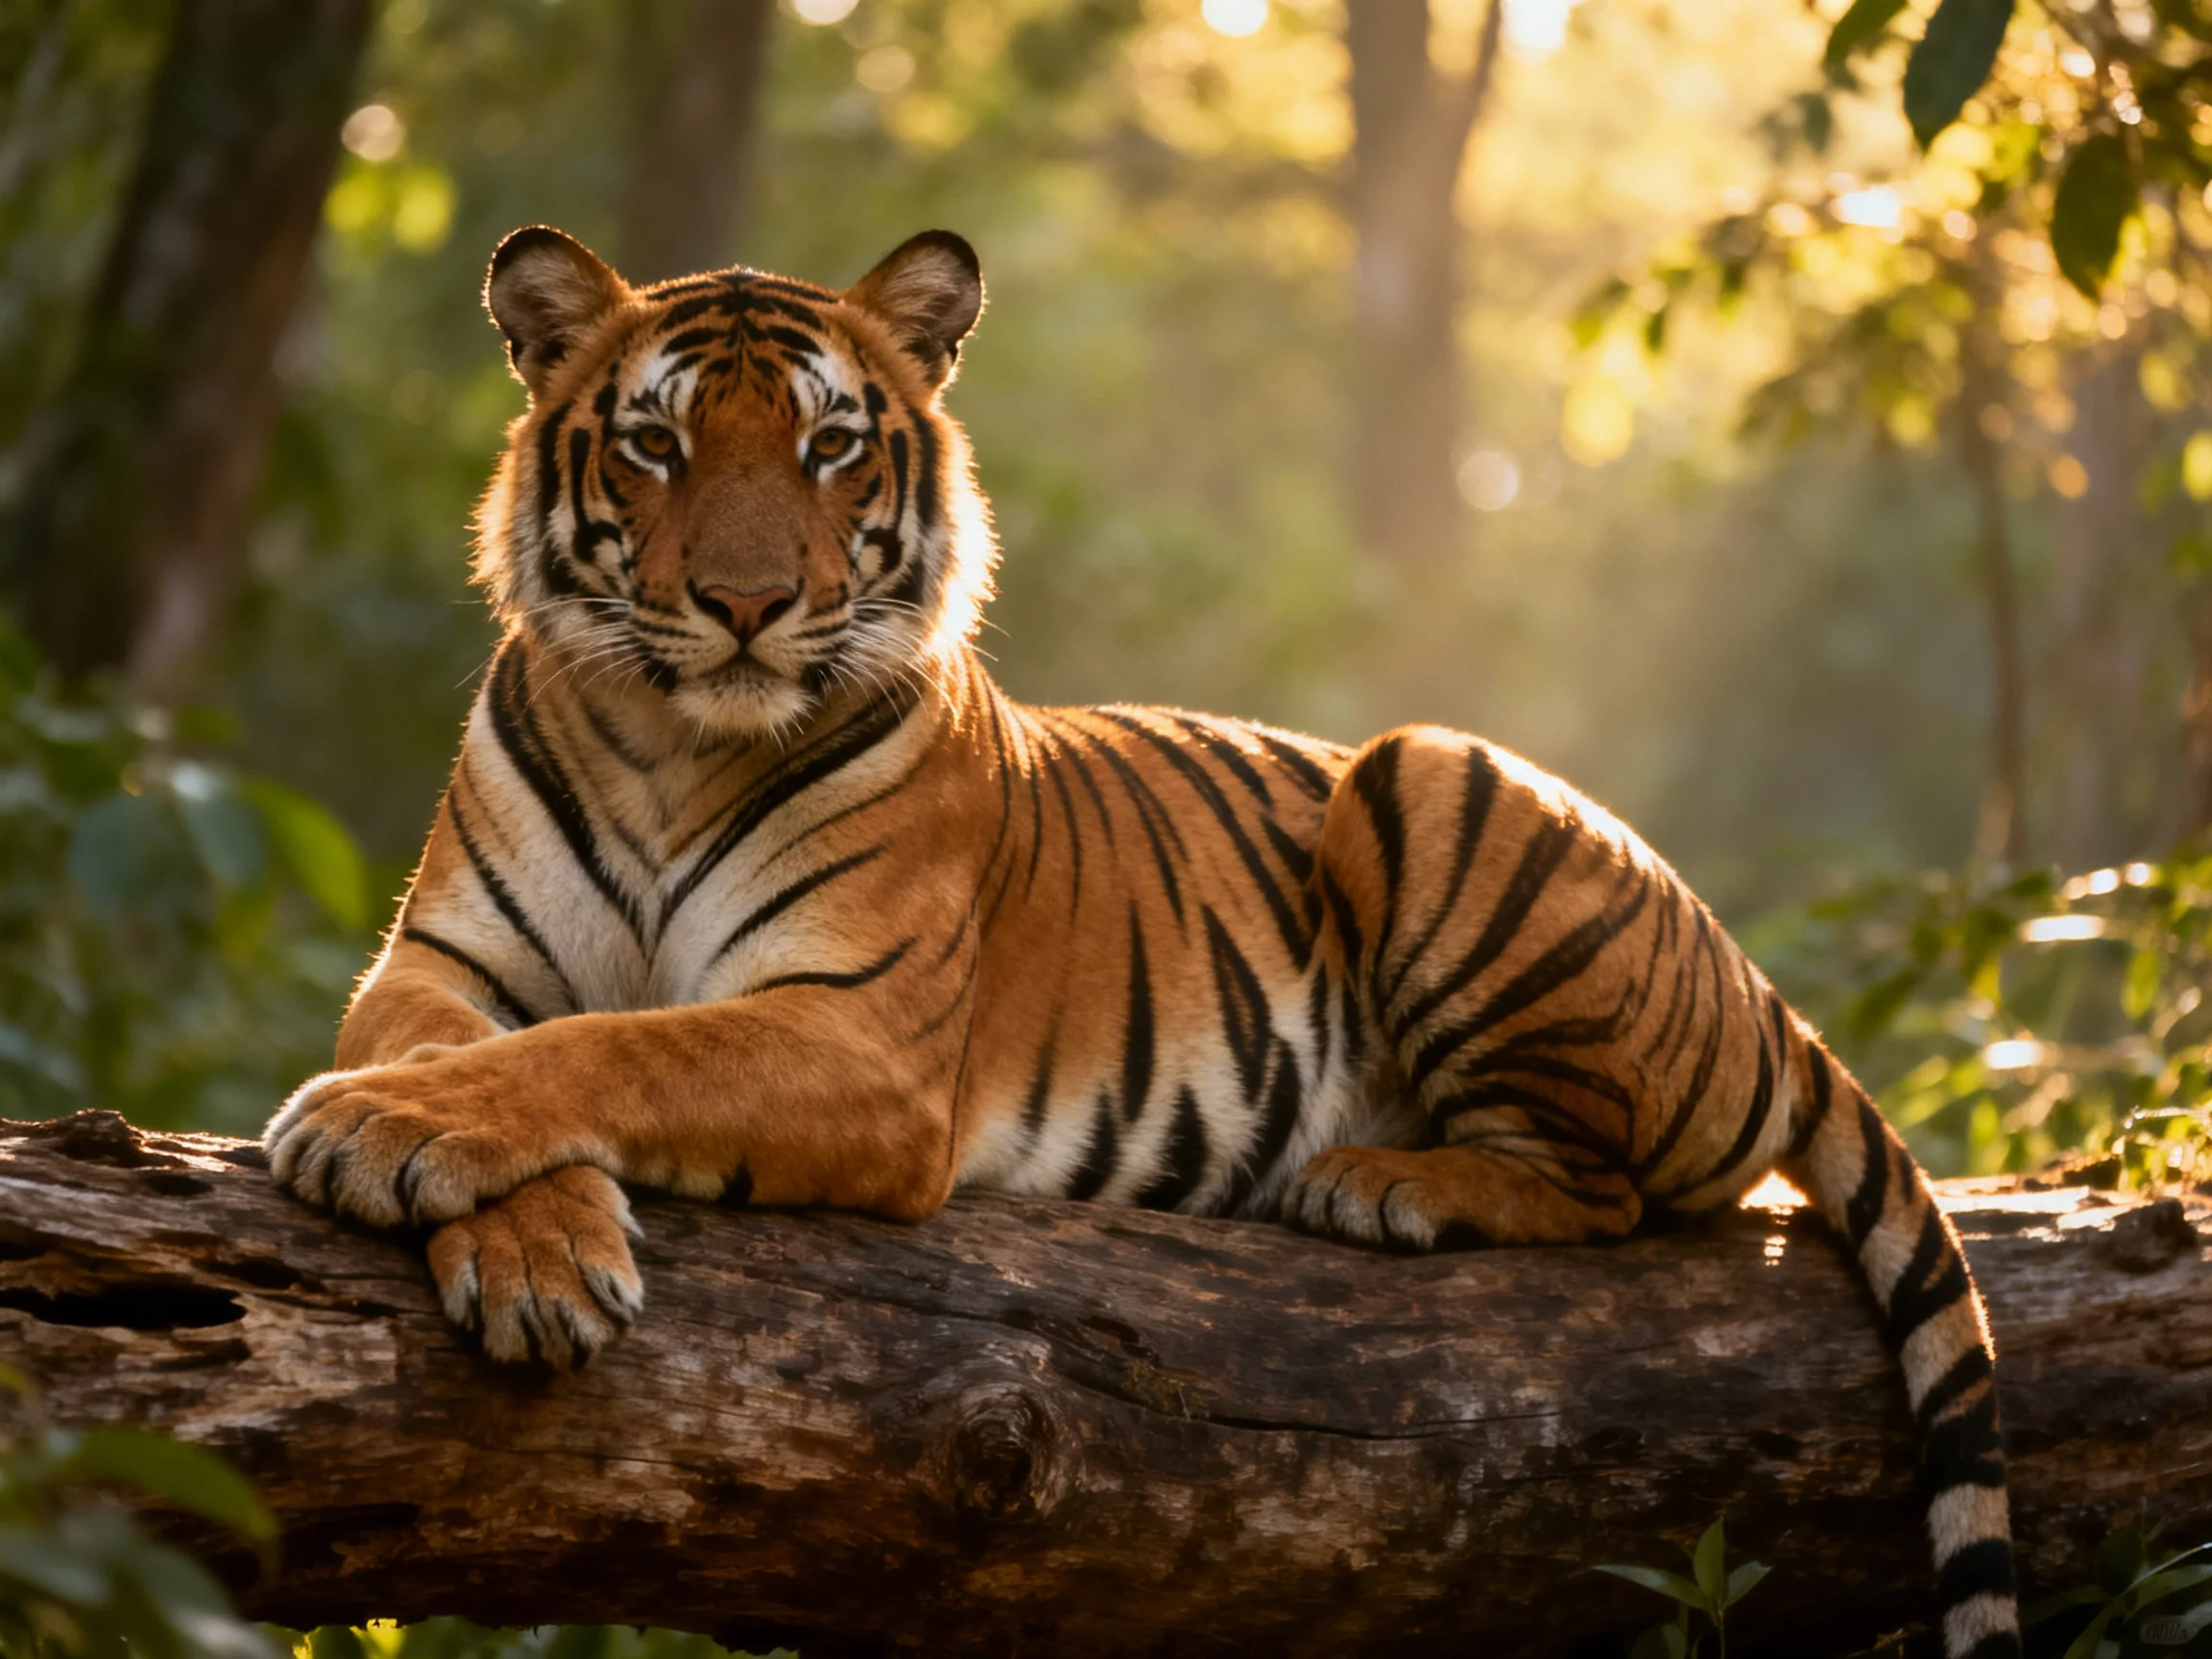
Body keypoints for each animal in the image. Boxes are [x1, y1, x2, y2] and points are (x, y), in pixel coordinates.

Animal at [263, 225, 2020, 1659]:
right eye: (654, 443)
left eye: (831, 448)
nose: (748, 604)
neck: (672, 744)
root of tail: (1760, 991)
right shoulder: (439, 967)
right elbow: (506, 1044)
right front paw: (527, 1244)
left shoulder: (856, 1029)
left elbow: (620, 1044)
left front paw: (389, 1142)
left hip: (1425, 766)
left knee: (1610, 1194)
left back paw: (1382, 1181)